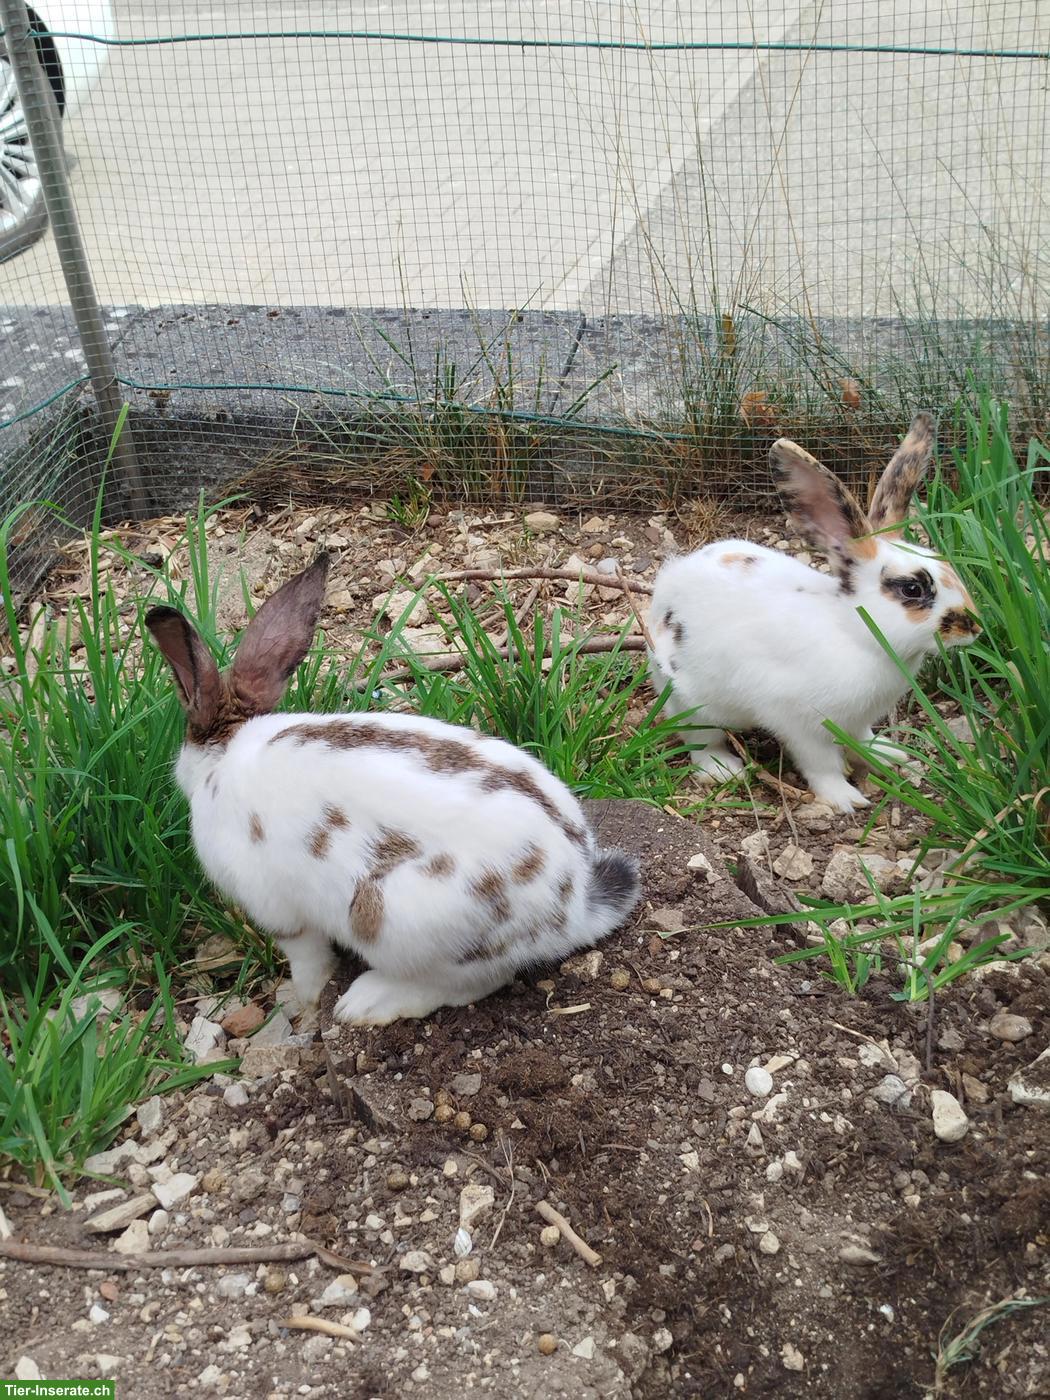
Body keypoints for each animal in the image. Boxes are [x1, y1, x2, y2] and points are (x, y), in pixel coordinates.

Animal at [145, 555, 640, 1026]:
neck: (225, 753)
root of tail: (576, 902)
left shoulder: (280, 914)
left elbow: (308, 961)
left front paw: (303, 1003)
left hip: (388, 919)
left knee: (474, 982)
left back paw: (365, 1003)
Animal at [648, 413, 981, 812]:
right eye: (912, 589)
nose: (973, 627)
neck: (855, 634)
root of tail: (665, 590)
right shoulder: (801, 724)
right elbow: (821, 765)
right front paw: (845, 799)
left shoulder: (857, 720)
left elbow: (861, 738)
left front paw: (886, 753)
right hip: (690, 701)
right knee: (699, 739)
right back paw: (723, 769)